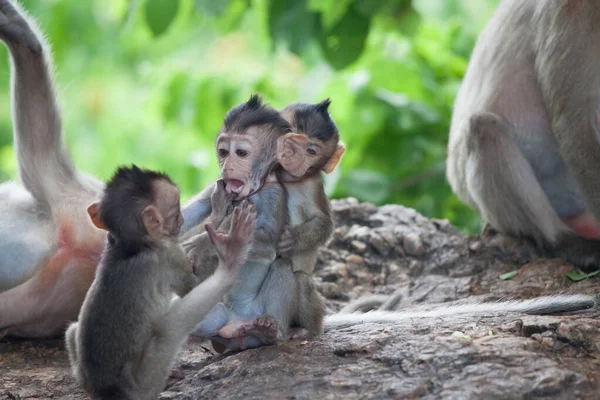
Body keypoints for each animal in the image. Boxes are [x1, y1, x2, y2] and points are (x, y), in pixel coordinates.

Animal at [65, 166, 255, 400]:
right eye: (174, 212)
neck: (134, 245)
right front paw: (218, 213)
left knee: (72, 330)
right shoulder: (170, 255)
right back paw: (232, 257)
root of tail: (107, 392)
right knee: (169, 329)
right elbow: (189, 286)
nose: (181, 219)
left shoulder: (112, 241)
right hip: (143, 383)